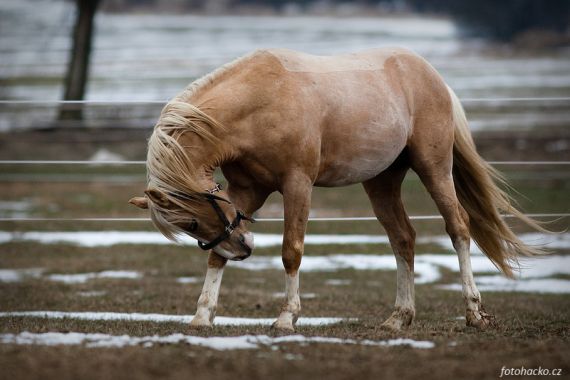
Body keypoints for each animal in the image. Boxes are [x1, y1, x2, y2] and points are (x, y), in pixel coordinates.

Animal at [129, 47, 540, 332]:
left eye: (191, 224)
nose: (244, 250)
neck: (261, 103)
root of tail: (431, 75)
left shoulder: (297, 185)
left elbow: (291, 250)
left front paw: (287, 318)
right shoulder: (246, 191)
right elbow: (216, 258)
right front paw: (202, 316)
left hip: (434, 168)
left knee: (458, 227)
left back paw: (474, 312)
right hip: (382, 181)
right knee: (403, 238)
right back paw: (399, 318)